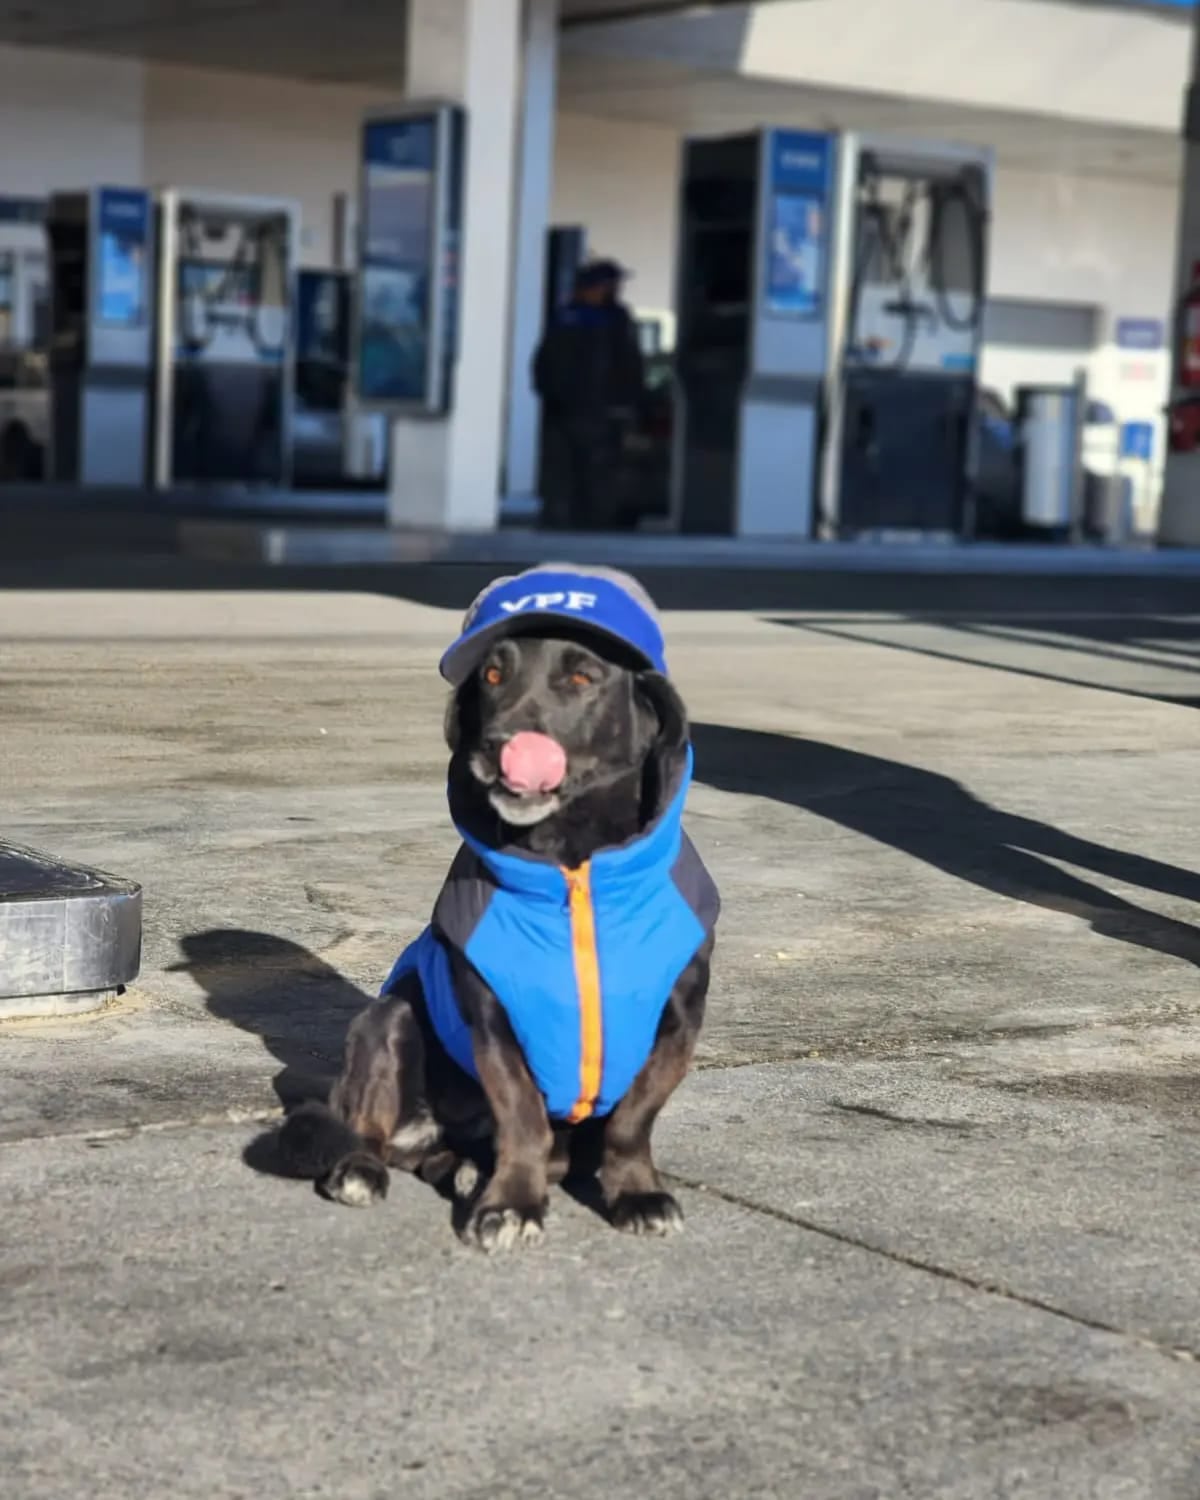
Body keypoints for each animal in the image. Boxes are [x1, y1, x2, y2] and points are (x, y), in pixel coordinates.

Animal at [276, 567, 717, 1248]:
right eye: (491, 675)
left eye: (582, 677)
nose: (496, 744)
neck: (572, 867)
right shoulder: (494, 1022)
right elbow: (524, 1118)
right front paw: (511, 1205)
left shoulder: (678, 1021)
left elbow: (631, 1121)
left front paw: (637, 1193)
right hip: (388, 1020)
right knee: (370, 1131)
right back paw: (365, 1170)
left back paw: (464, 1170)